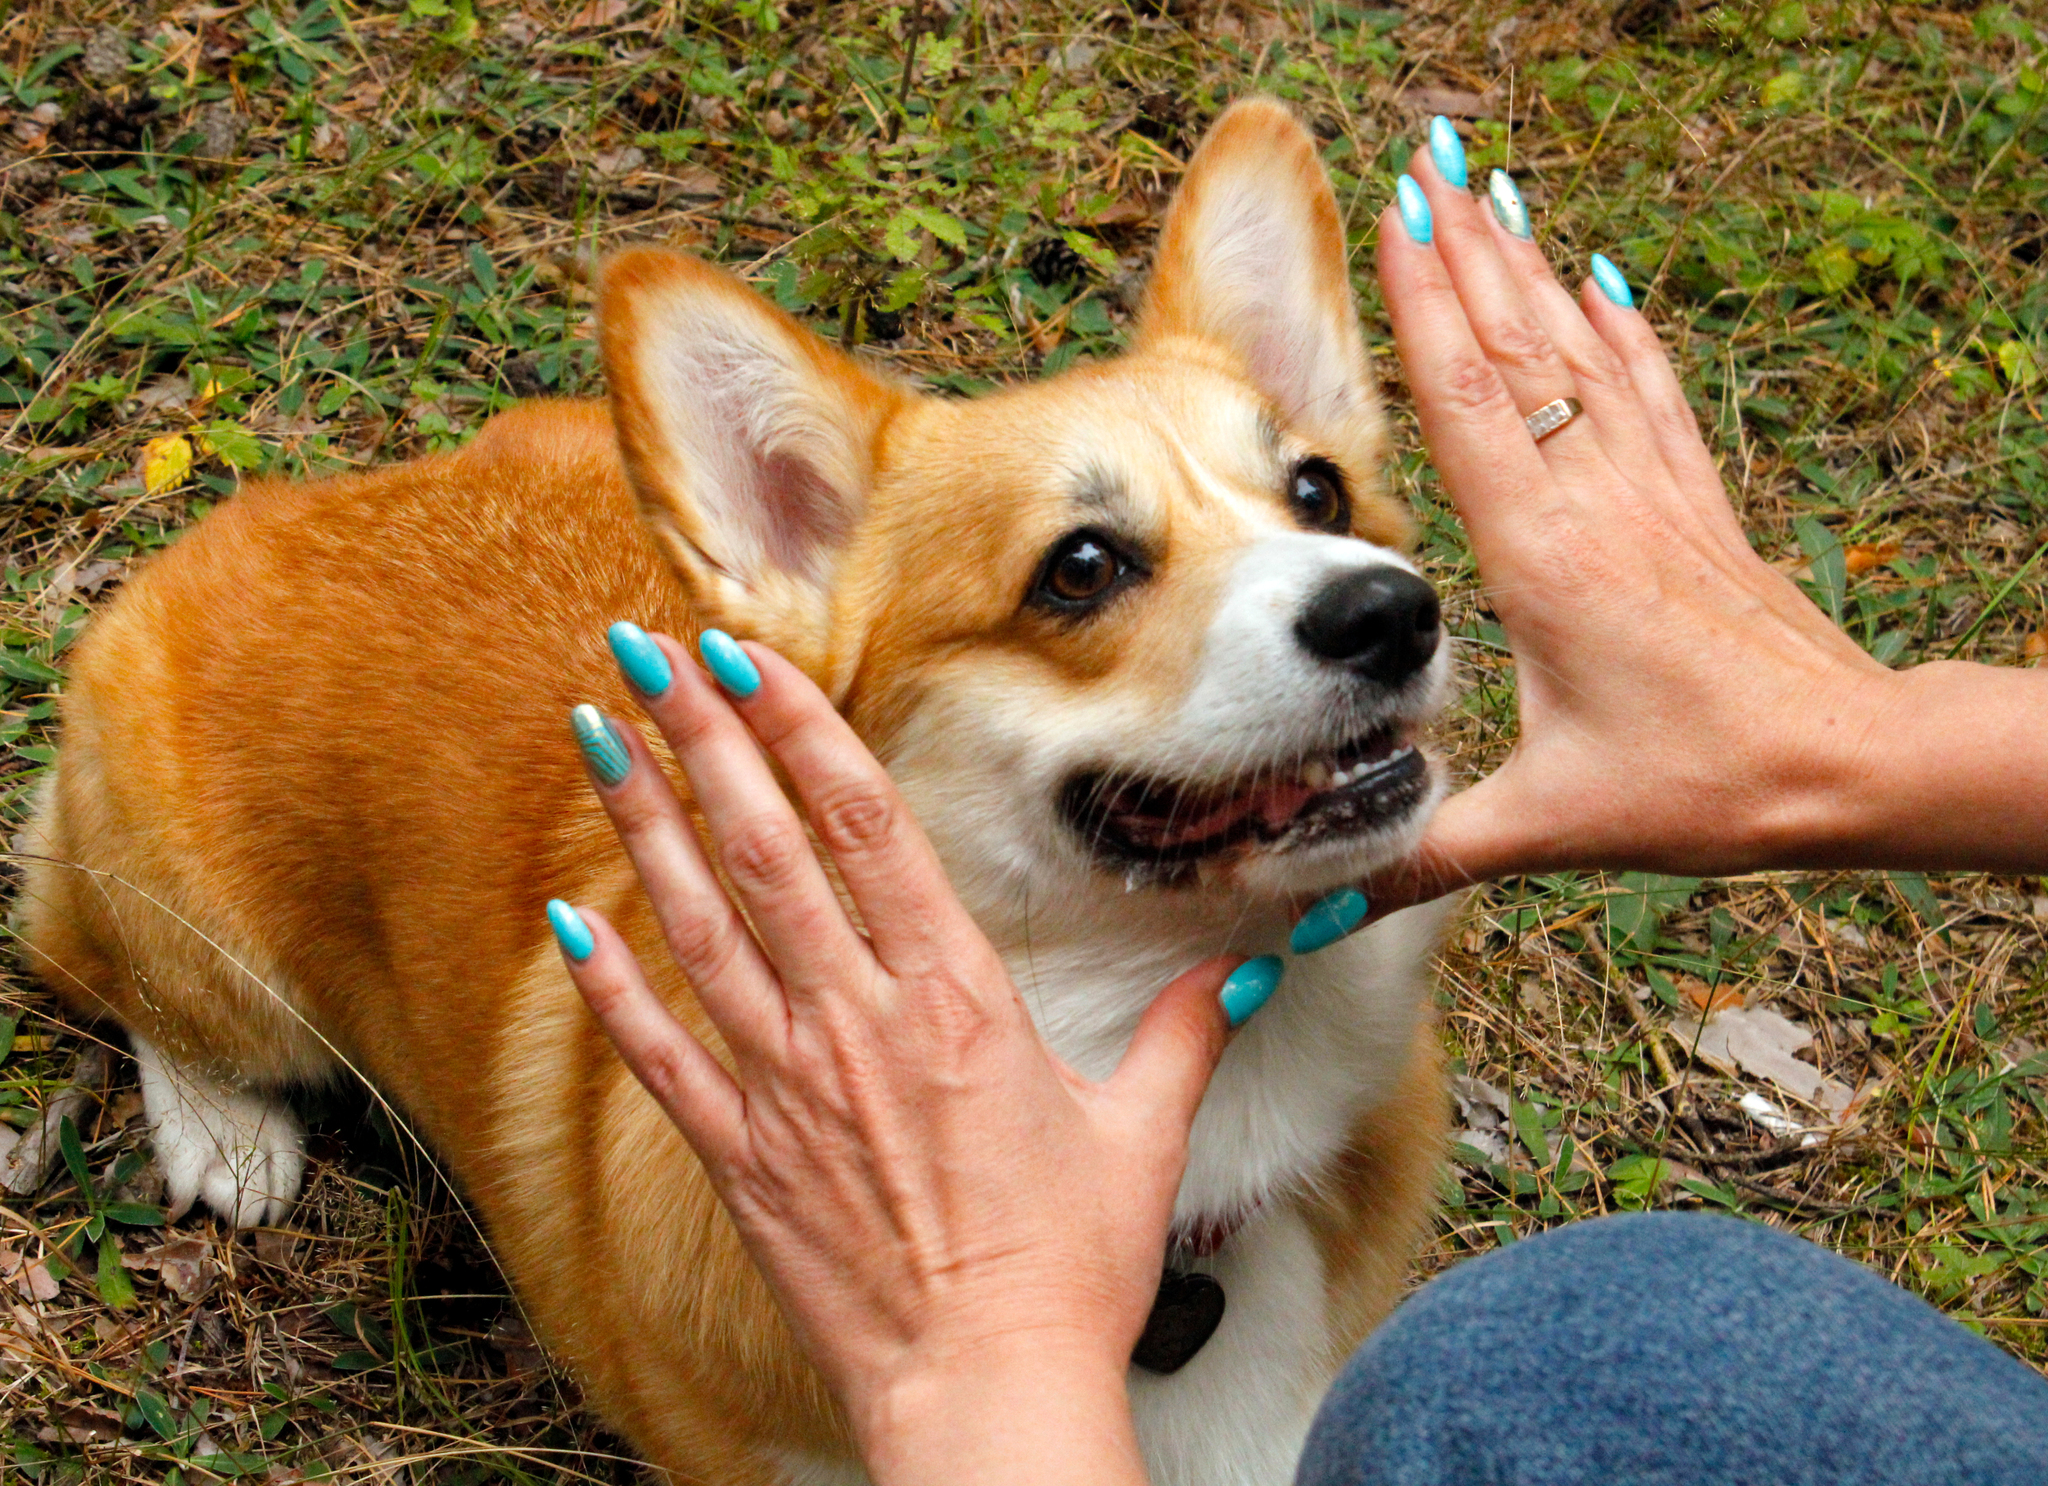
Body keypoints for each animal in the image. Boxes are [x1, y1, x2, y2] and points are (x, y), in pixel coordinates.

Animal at [16, 104, 1458, 1486]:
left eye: (1318, 490)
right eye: (1082, 566)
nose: (1393, 613)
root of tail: (261, 512)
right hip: (210, 942)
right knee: (110, 969)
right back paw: (223, 1133)